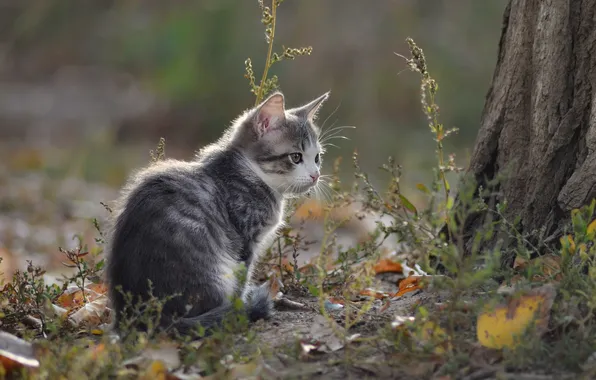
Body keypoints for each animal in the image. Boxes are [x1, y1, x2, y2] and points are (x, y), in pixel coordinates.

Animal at [107, 91, 330, 336]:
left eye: (317, 158)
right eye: (296, 157)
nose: (316, 175)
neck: (249, 173)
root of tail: (143, 314)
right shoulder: (245, 241)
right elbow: (243, 277)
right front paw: (239, 307)